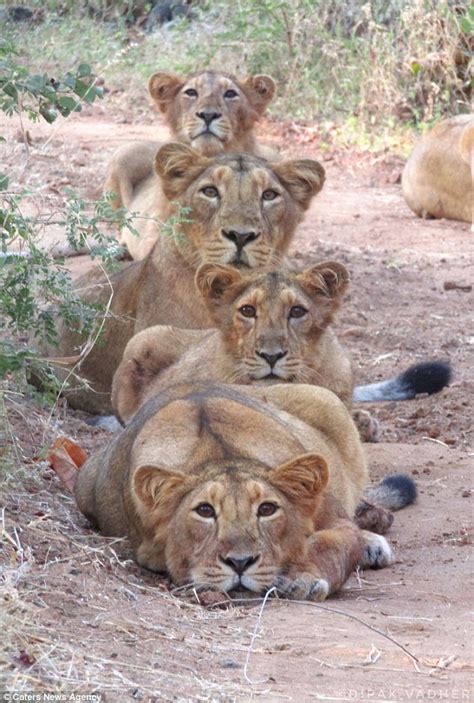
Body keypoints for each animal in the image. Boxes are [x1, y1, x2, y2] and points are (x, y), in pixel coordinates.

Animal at [76, 382, 398, 604]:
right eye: (205, 511)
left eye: (267, 509)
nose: (240, 563)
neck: (220, 455)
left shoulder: (334, 518)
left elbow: (333, 542)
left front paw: (301, 579)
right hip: (85, 479)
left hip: (325, 399)